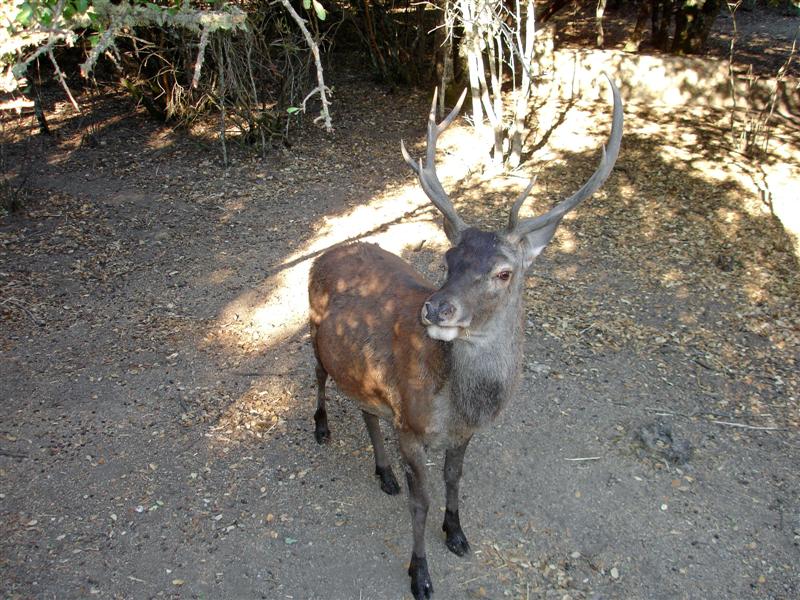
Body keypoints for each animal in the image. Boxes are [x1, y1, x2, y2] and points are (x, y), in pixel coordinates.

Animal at [308, 77, 624, 596]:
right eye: (448, 258)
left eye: (503, 272)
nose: (436, 308)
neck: (457, 404)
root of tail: (325, 253)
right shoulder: (410, 427)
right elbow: (420, 502)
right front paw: (420, 574)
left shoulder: (463, 434)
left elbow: (455, 481)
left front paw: (456, 533)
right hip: (312, 329)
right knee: (318, 376)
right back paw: (320, 427)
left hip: (362, 372)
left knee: (365, 406)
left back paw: (383, 472)